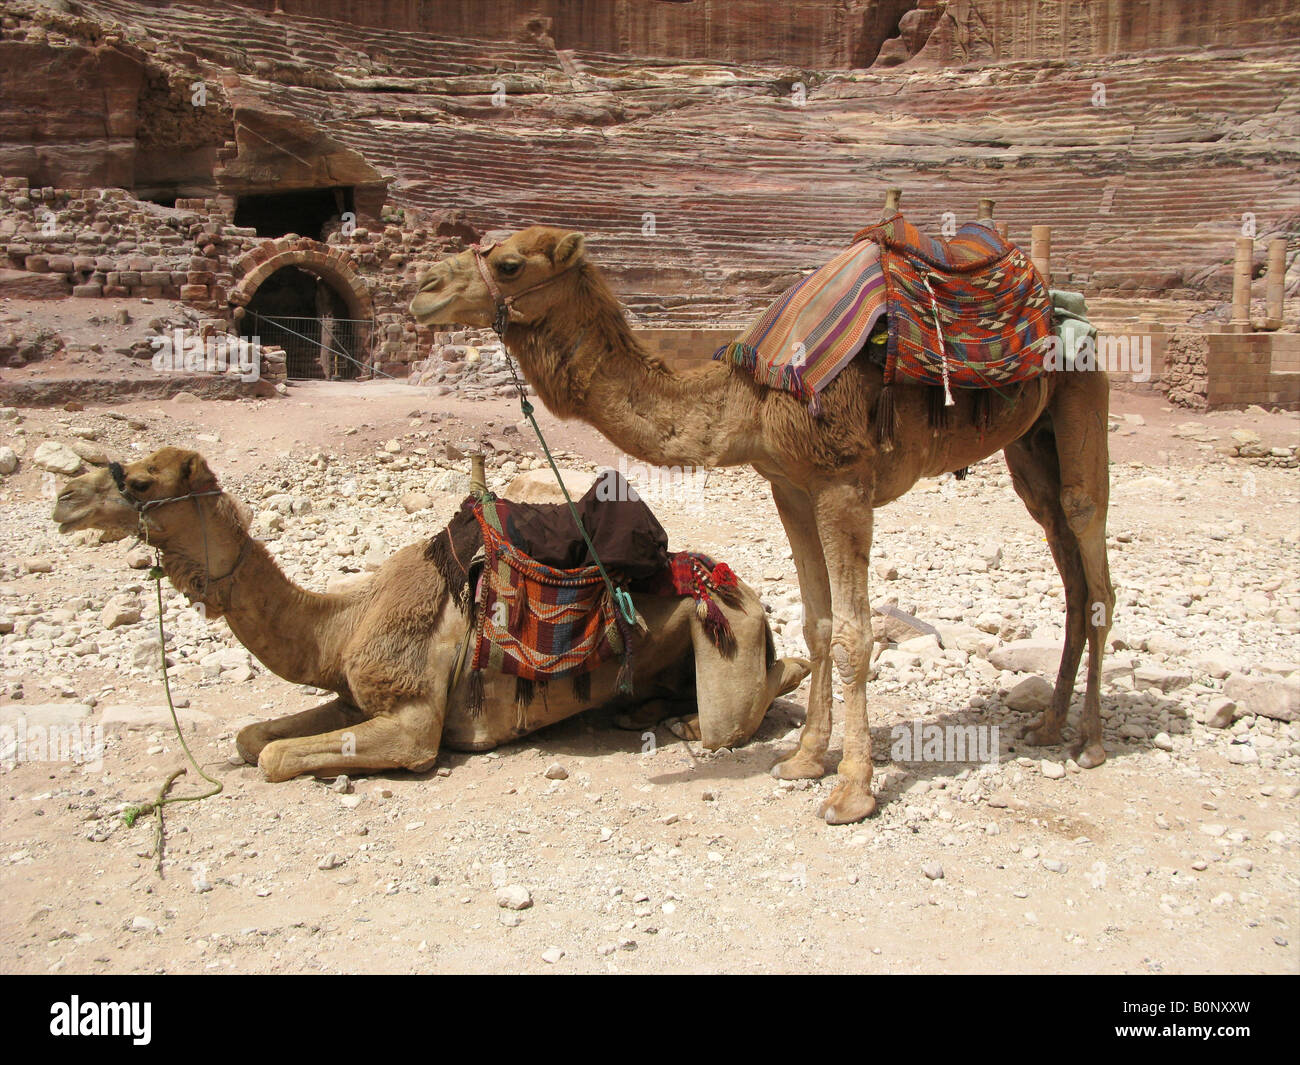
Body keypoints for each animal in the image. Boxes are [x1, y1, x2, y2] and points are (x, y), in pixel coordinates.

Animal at [55, 447, 806, 785]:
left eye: (138, 480)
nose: (64, 499)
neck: (342, 623)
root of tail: (741, 594)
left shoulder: (415, 720)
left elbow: (272, 755)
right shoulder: (355, 691)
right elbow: (252, 736)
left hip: (731, 640)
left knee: (745, 706)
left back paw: (694, 718)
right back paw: (641, 712)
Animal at [410, 224, 1112, 827]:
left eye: (508, 263)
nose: (423, 288)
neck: (749, 400)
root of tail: (1065, 303)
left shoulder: (844, 483)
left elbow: (855, 633)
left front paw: (851, 792)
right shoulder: (790, 487)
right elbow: (819, 624)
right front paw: (803, 760)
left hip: (1084, 391)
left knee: (1090, 547)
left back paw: (1090, 743)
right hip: (1027, 447)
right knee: (1066, 559)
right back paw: (1050, 727)